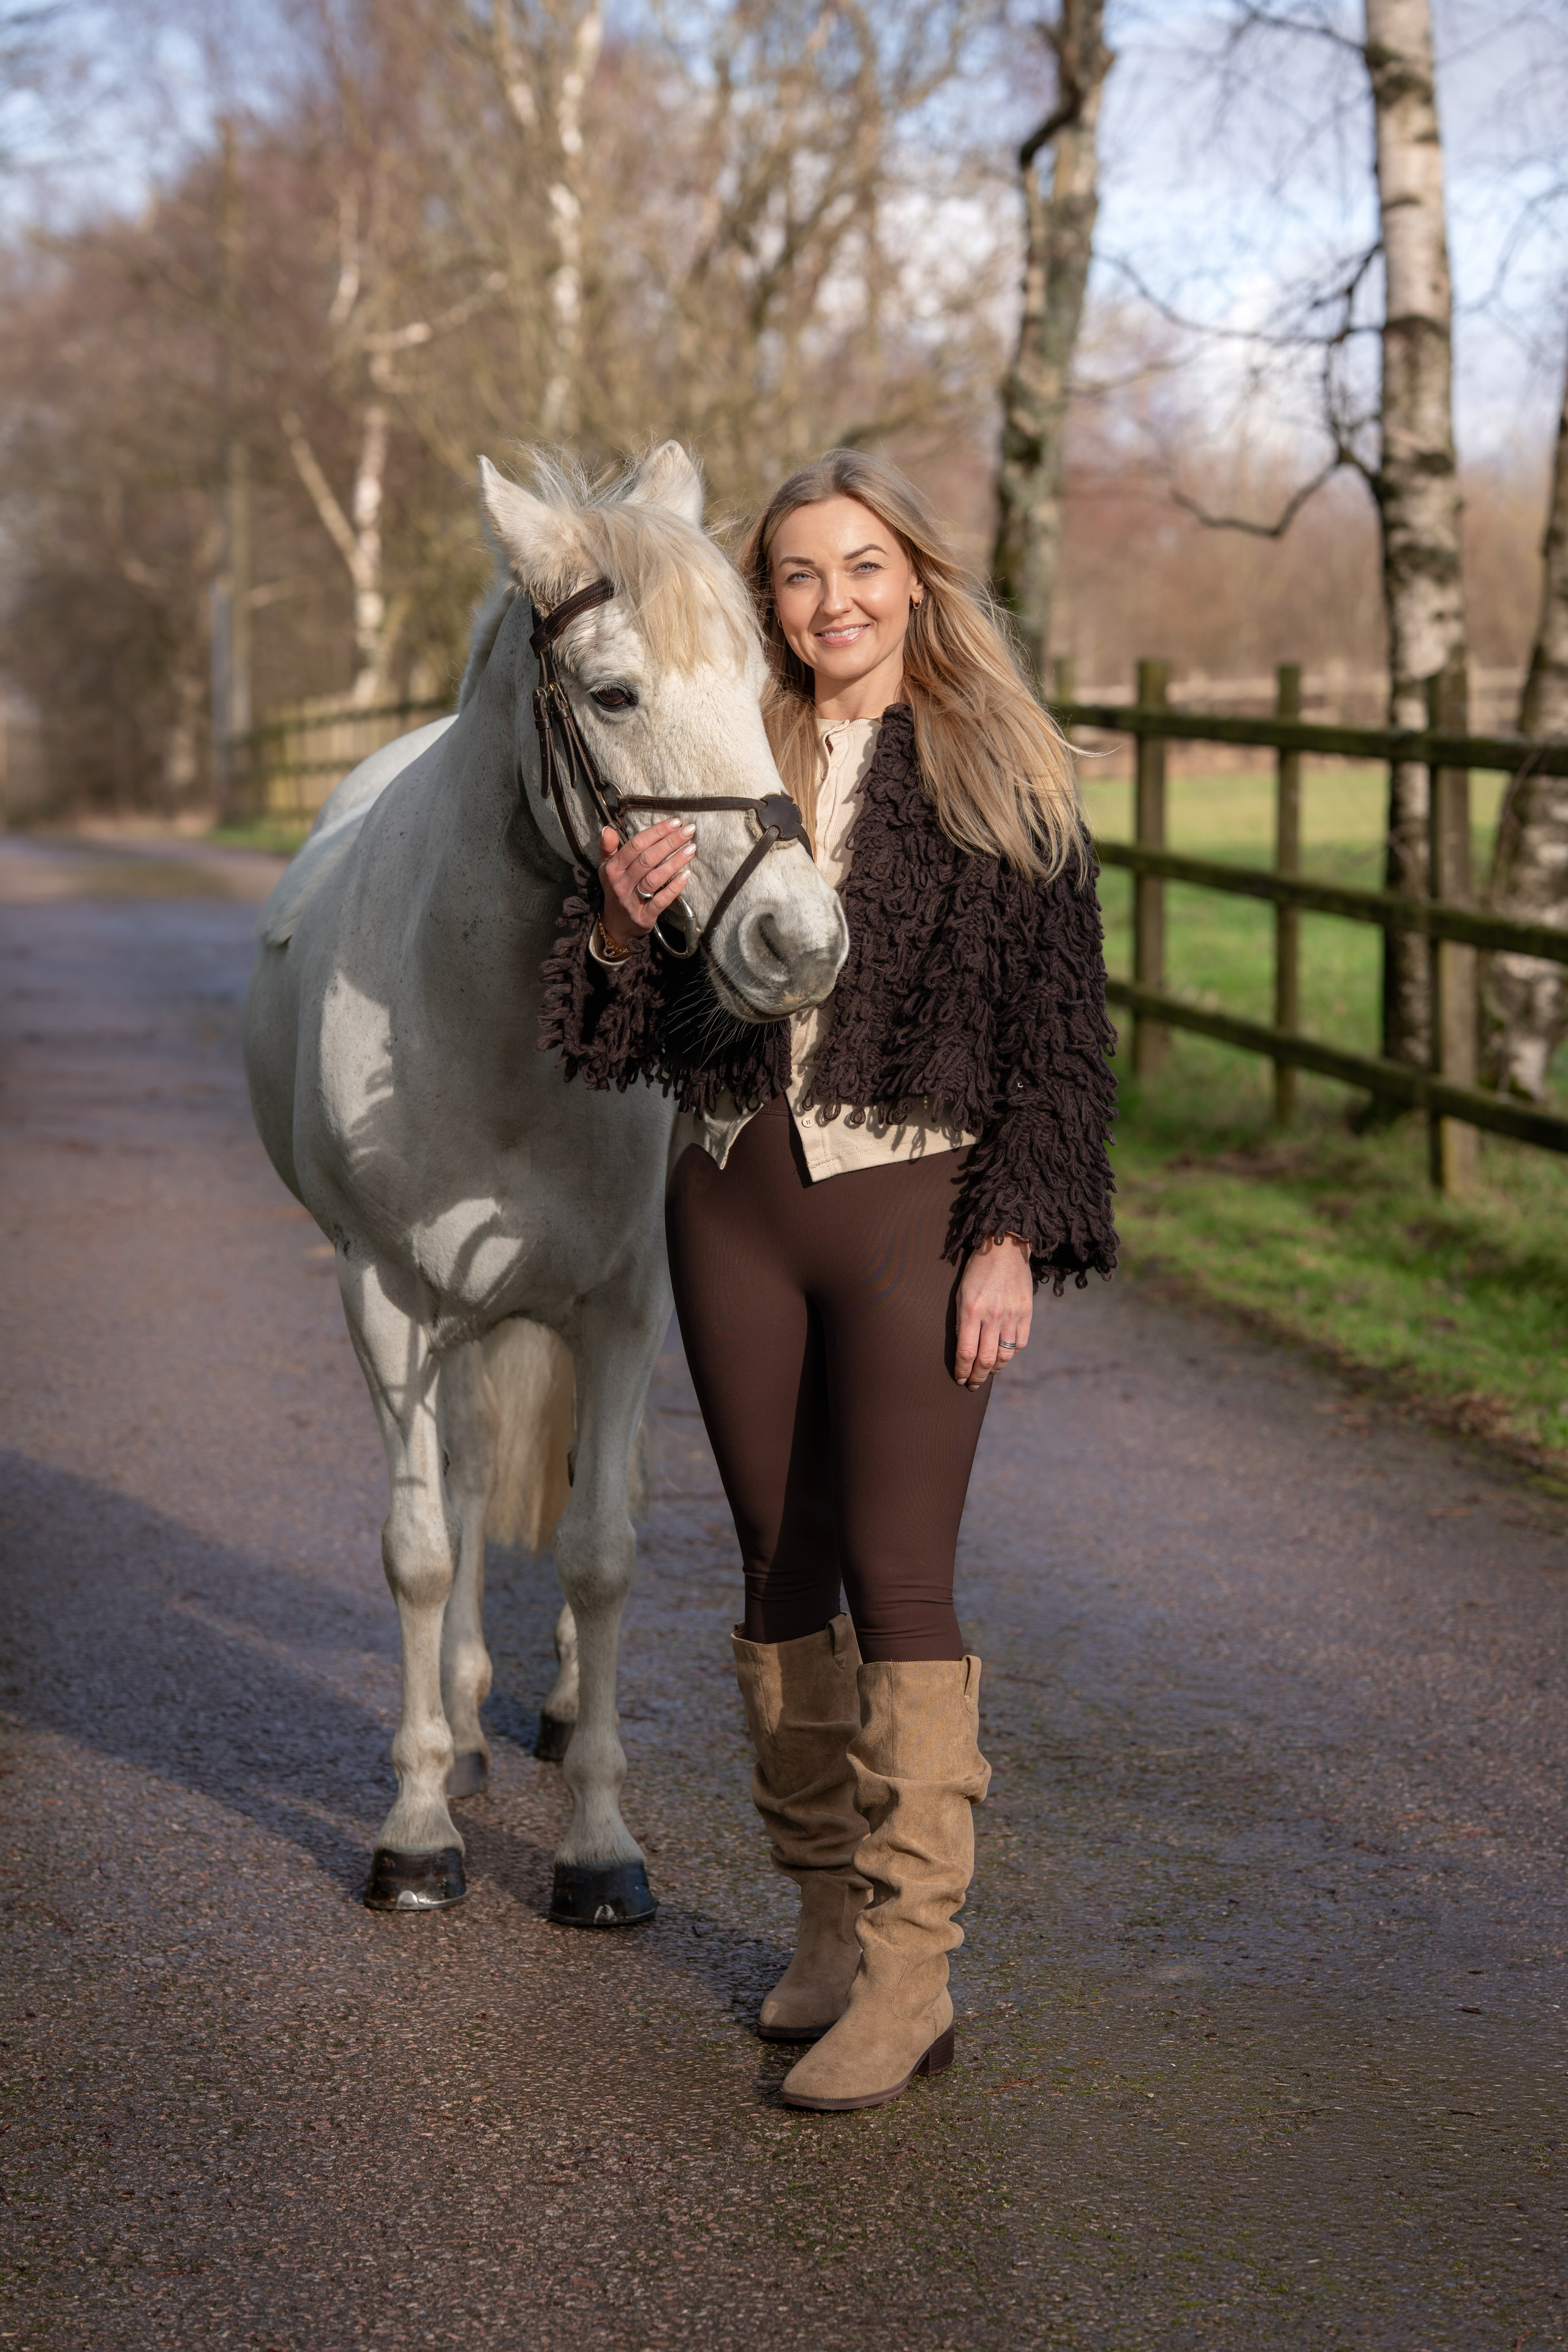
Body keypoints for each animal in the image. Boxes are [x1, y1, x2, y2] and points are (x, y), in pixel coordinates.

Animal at [243, 442, 847, 1922]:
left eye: (759, 681)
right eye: (615, 693)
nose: (798, 942)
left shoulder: (625, 1307)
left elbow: (601, 1550)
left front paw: (597, 1844)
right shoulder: (386, 1301)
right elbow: (419, 1546)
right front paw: (413, 1828)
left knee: (585, 1483)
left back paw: (560, 1710)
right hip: (451, 1321)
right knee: (464, 1478)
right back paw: (459, 1729)